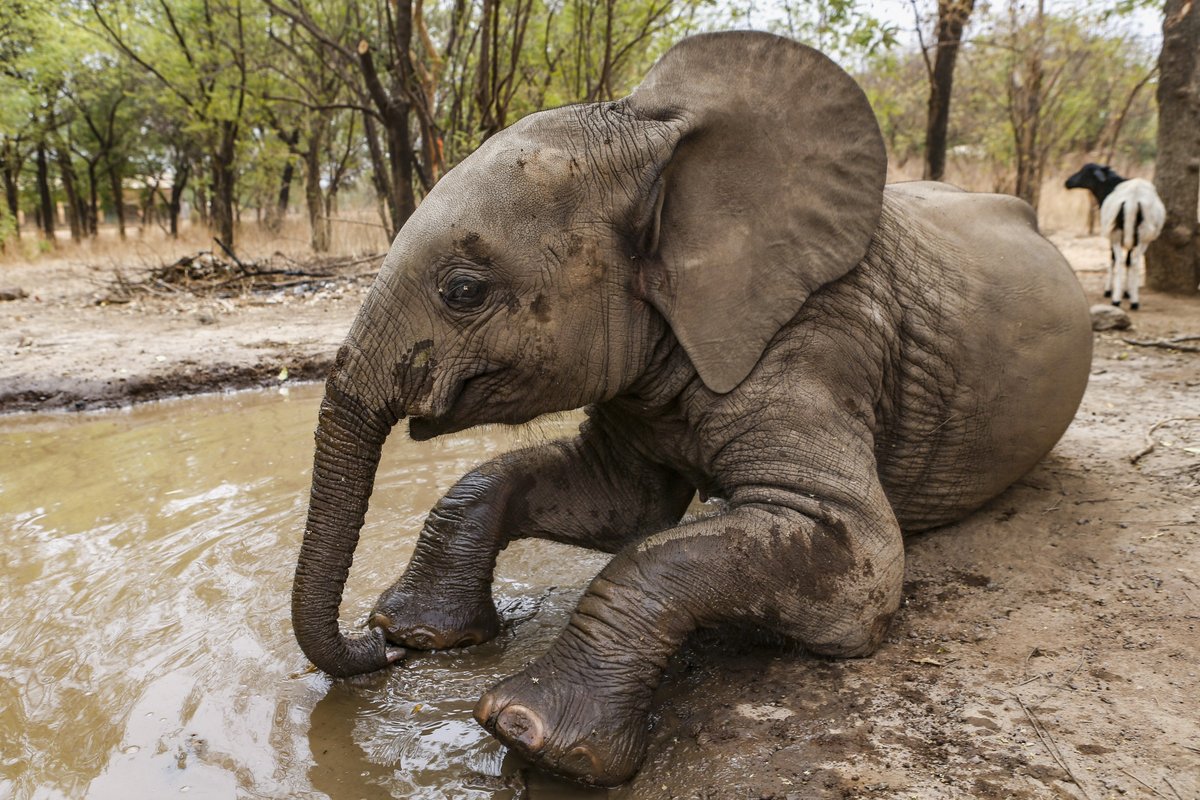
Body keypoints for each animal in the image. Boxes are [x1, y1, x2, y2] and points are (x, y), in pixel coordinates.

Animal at [291, 31, 1092, 787]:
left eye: (463, 291)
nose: (378, 652)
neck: (659, 144)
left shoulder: (822, 333)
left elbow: (850, 565)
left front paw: (531, 736)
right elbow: (621, 506)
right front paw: (421, 635)